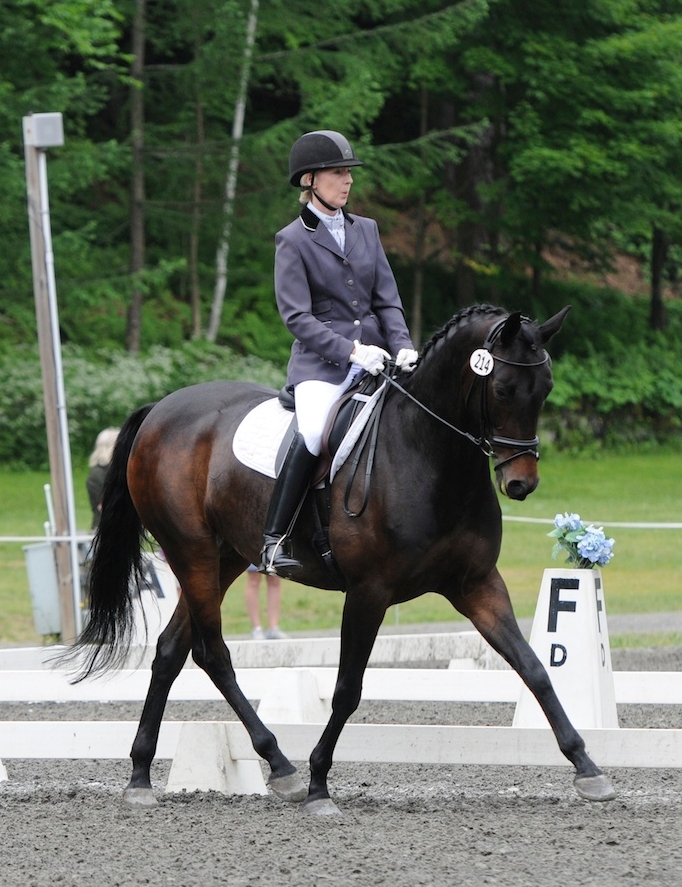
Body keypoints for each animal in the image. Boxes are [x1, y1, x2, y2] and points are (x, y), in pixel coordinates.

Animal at [66, 303, 615, 814]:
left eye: (544, 388)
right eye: (502, 388)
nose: (521, 484)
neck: (429, 455)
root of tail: (161, 409)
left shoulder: (476, 583)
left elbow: (533, 668)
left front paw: (587, 768)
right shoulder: (369, 591)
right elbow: (348, 689)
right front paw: (318, 783)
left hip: (224, 559)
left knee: (170, 650)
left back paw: (142, 775)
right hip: (192, 552)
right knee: (213, 654)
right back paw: (282, 768)